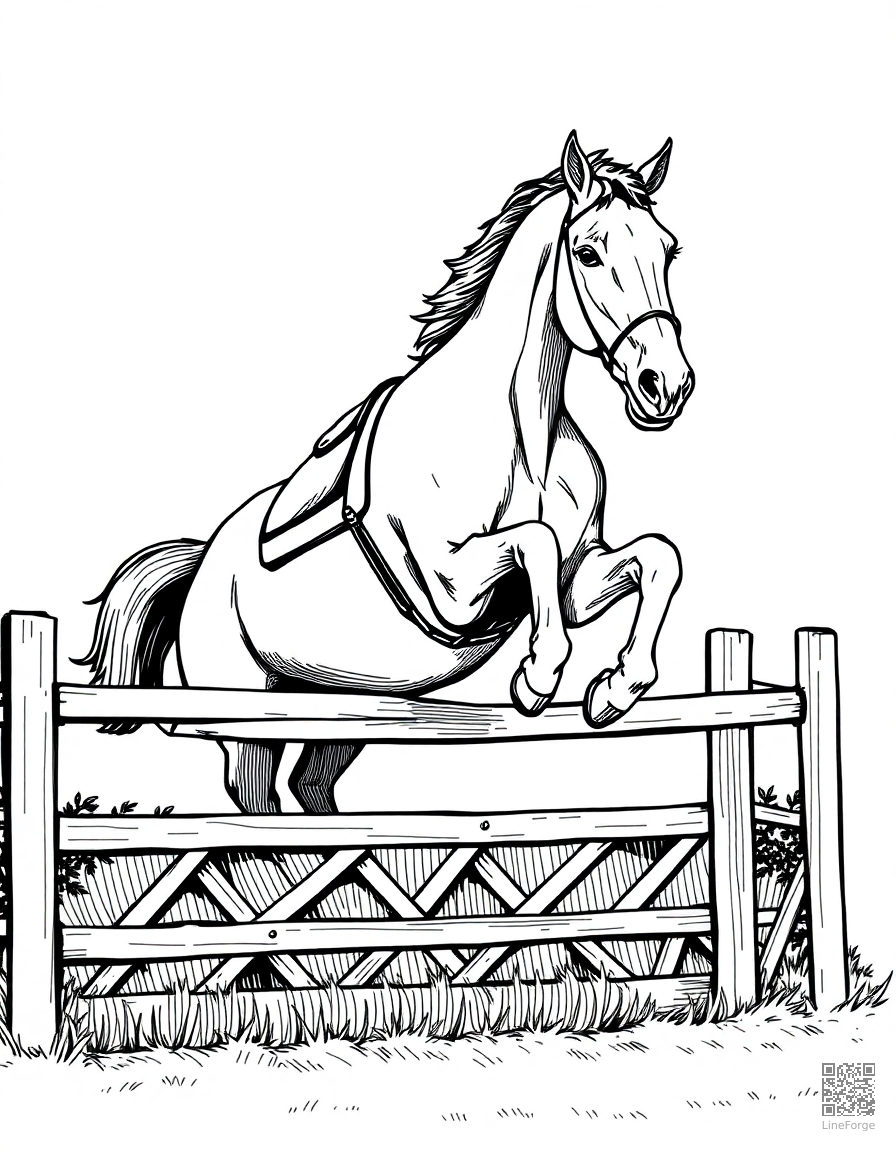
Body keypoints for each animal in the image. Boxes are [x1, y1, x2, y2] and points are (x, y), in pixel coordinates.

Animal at [78, 131, 695, 816]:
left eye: (668, 250)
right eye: (587, 253)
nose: (665, 386)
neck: (515, 439)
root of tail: (202, 562)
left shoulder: (573, 582)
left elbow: (658, 558)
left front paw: (615, 689)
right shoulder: (452, 586)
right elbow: (535, 541)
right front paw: (537, 679)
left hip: (343, 706)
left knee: (311, 785)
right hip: (247, 716)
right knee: (257, 798)